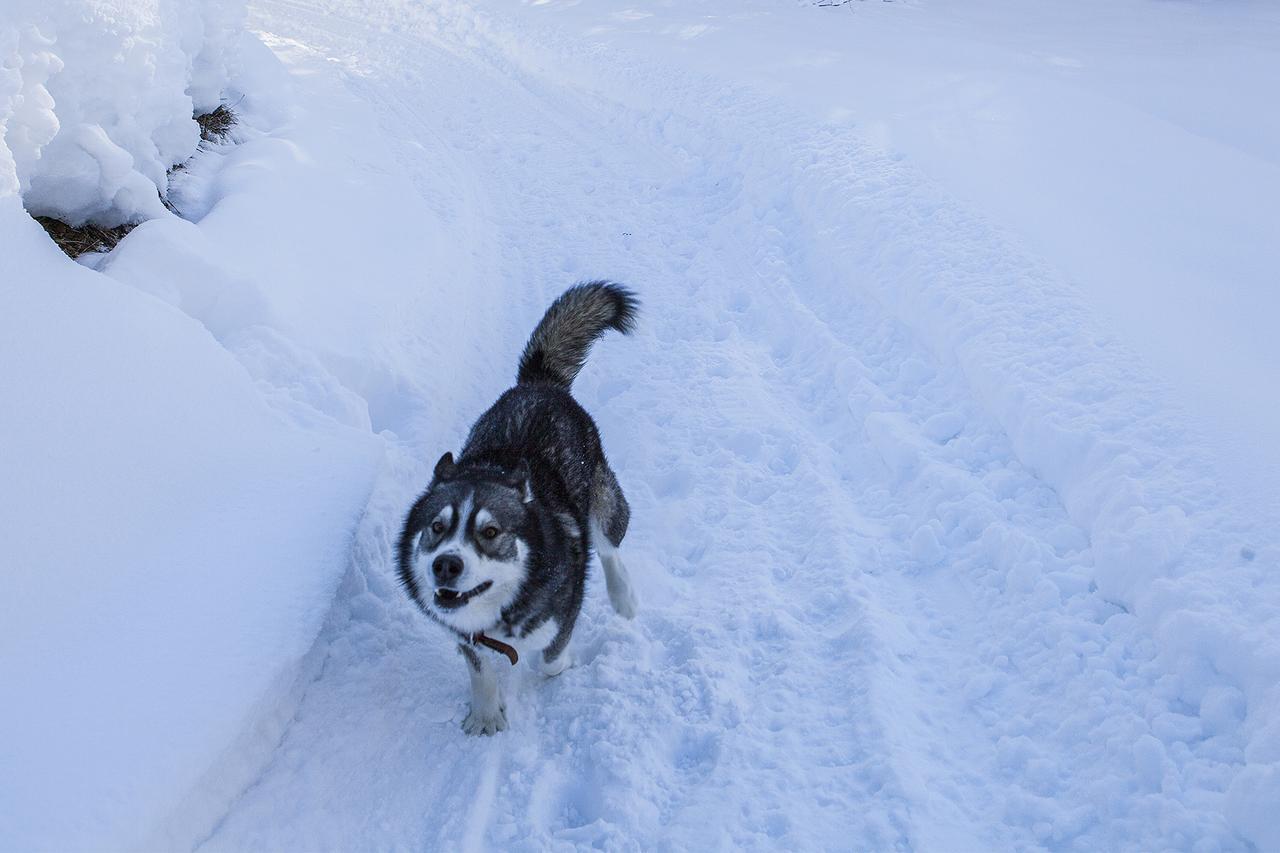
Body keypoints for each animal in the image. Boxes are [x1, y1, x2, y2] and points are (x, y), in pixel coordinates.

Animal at [396, 279, 637, 732]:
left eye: (491, 532)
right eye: (437, 527)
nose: (445, 565)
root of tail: (540, 384)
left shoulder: (563, 612)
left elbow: (550, 659)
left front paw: (556, 670)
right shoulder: (466, 635)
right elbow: (480, 669)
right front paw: (487, 713)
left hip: (602, 501)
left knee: (609, 544)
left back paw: (624, 597)